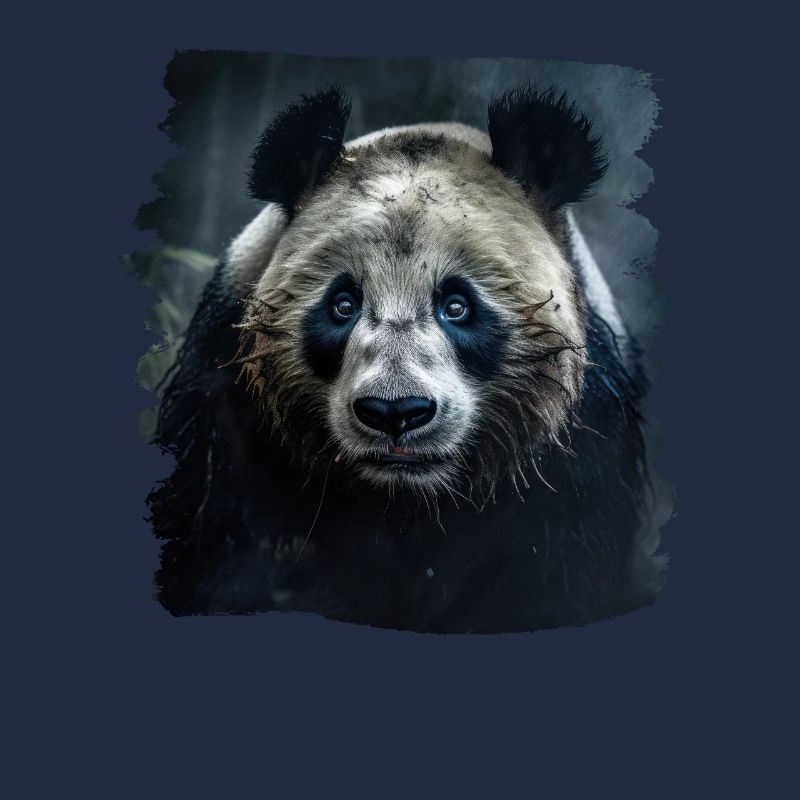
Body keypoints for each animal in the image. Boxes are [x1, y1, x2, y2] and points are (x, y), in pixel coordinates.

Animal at [149, 84, 668, 633]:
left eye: (457, 305)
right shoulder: (222, 404)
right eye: (343, 304)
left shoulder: (582, 444)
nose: (394, 413)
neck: (404, 498)